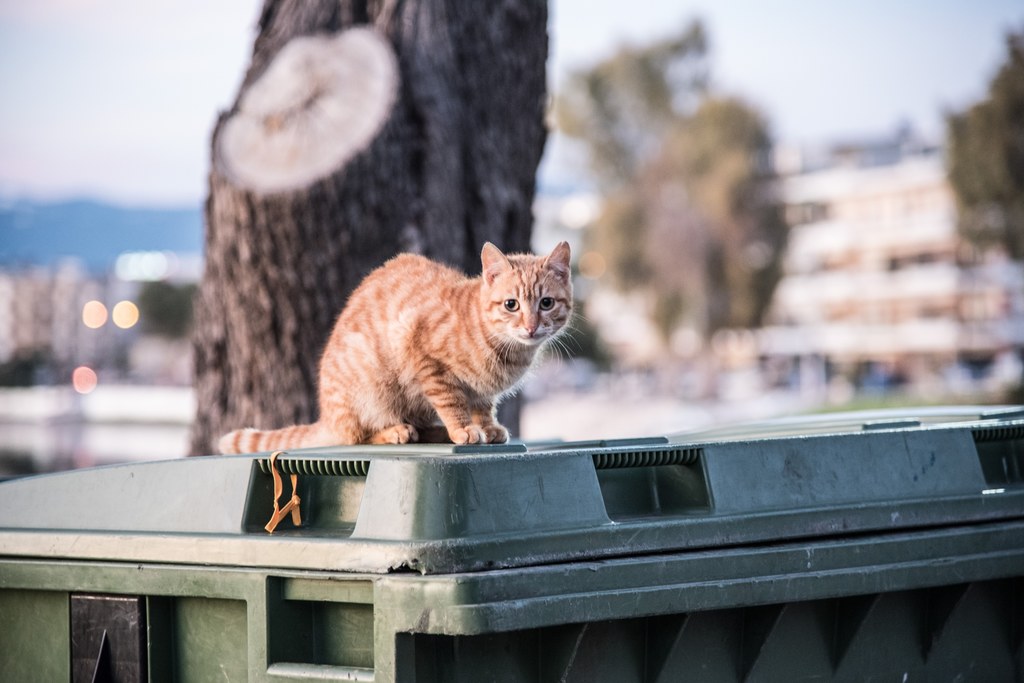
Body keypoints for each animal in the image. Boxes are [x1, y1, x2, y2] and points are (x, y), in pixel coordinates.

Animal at [219, 241, 573, 454]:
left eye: (546, 303)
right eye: (511, 305)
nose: (530, 326)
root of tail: (328, 417)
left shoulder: (482, 393)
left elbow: (482, 406)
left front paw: (485, 427)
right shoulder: (422, 353)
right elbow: (452, 401)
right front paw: (464, 429)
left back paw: (436, 432)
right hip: (375, 392)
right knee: (356, 436)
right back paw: (397, 432)